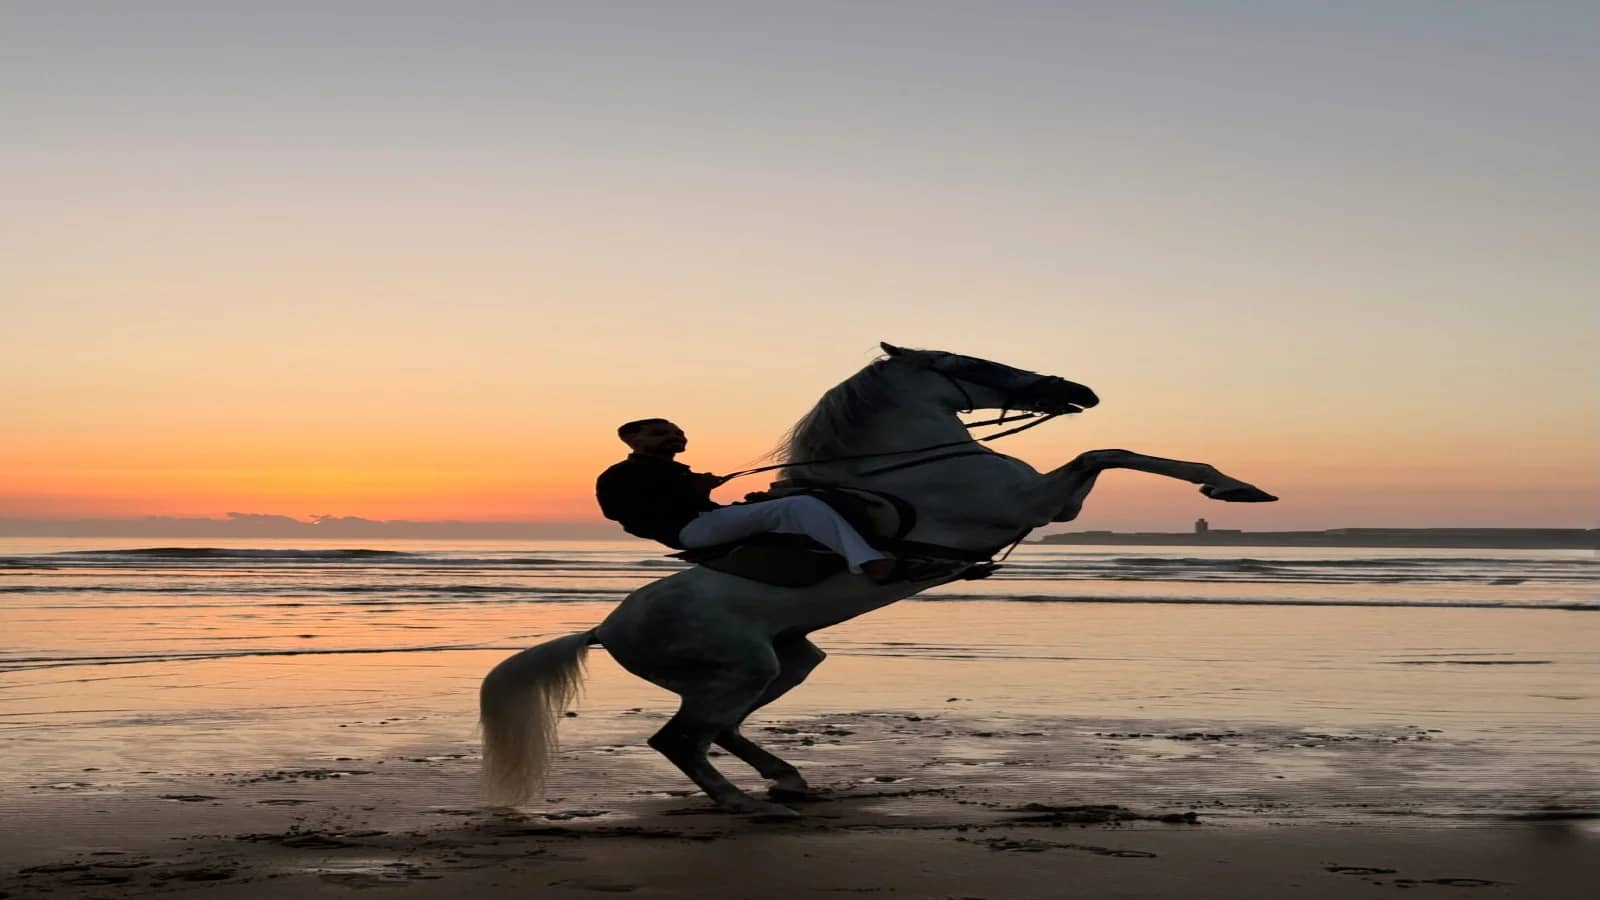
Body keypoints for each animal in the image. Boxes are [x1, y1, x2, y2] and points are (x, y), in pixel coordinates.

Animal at [479, 342, 1276, 817]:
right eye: (971, 360)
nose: (1076, 388)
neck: (921, 461)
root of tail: (604, 628)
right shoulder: (1041, 502)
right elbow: (1110, 451)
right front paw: (1233, 488)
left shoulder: (1051, 504)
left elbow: (1111, 452)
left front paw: (1234, 486)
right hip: (740, 666)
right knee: (679, 740)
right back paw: (741, 800)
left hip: (787, 659)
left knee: (719, 728)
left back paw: (786, 779)